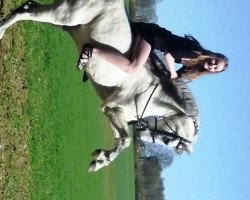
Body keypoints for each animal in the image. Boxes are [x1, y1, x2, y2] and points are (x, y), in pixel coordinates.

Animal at [0, 0, 199, 172]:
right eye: (173, 139)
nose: (142, 136)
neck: (151, 96)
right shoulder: (112, 108)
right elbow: (125, 141)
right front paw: (102, 159)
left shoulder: (113, 114)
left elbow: (120, 140)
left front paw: (101, 159)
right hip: (64, 15)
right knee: (25, 12)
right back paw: (1, 30)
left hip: (66, 22)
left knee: (28, 6)